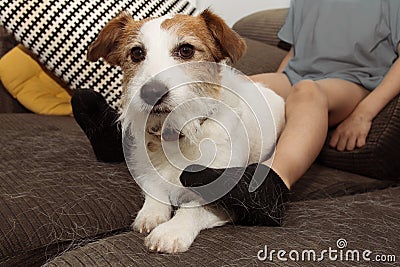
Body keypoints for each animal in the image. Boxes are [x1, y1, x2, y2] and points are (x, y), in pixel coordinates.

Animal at [87, 9, 284, 254]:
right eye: (137, 53)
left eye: (186, 50)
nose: (151, 92)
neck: (179, 132)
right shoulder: (148, 173)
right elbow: (154, 189)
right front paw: (151, 214)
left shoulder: (225, 199)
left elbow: (193, 209)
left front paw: (170, 231)